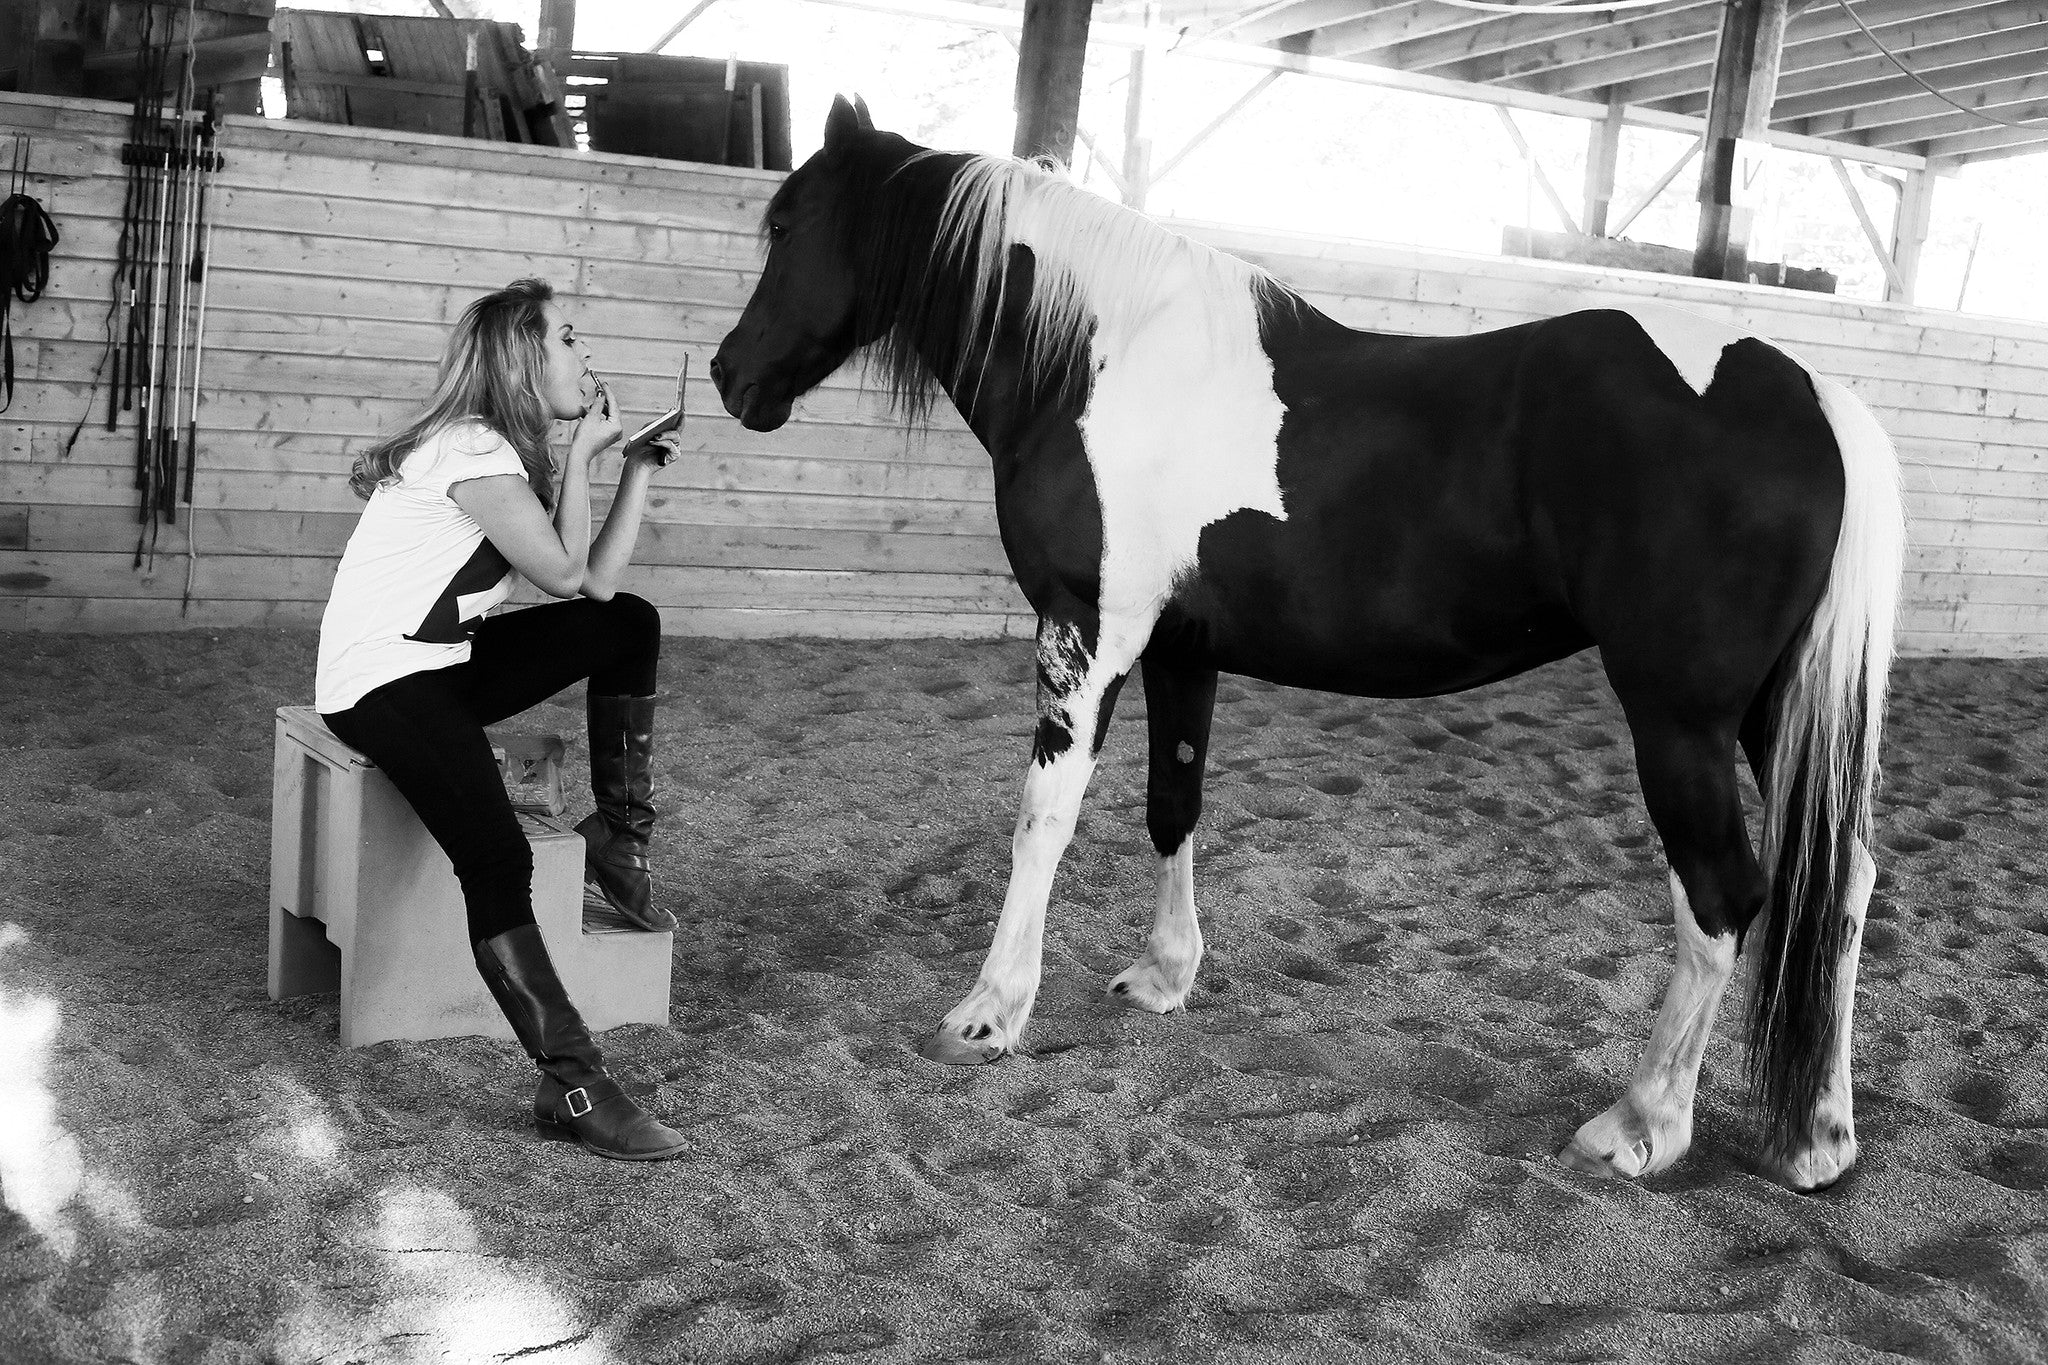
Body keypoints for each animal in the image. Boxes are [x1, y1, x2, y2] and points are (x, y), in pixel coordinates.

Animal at [711, 96, 1903, 1191]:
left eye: (788, 223)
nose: (730, 377)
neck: (1104, 357)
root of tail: (1812, 395)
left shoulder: (1087, 628)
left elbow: (1041, 821)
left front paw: (987, 1014)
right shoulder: (1179, 647)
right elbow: (1173, 805)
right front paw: (1162, 976)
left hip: (1677, 717)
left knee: (1724, 898)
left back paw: (1641, 1124)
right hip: (1772, 714)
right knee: (1842, 883)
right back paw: (1816, 1139)